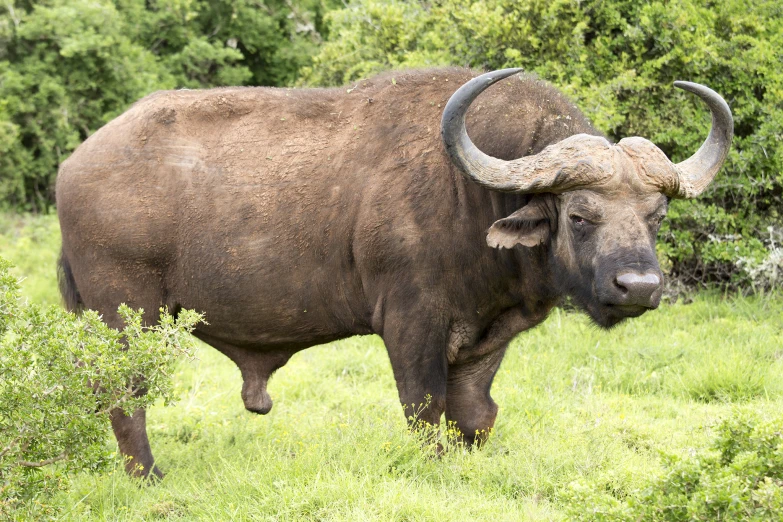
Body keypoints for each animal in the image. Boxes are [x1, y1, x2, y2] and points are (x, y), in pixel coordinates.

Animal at [56, 67, 736, 474]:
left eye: (656, 215)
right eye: (579, 215)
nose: (639, 287)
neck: (471, 196)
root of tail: (76, 164)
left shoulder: (487, 335)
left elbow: (476, 414)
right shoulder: (411, 324)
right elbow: (425, 411)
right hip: (127, 318)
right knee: (125, 398)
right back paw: (148, 475)